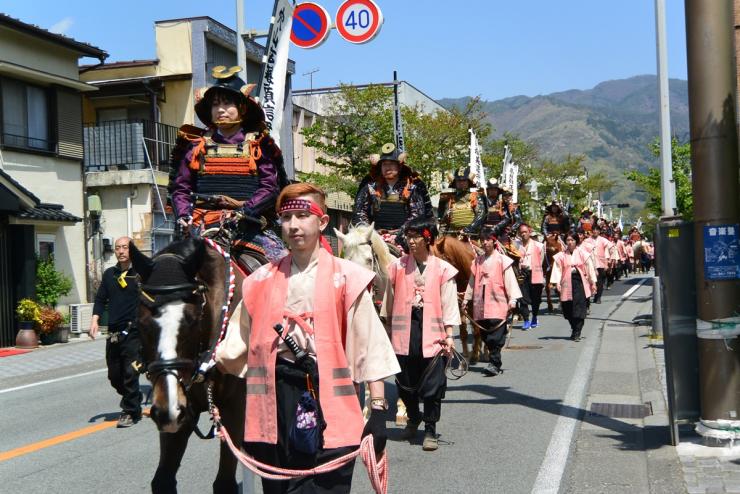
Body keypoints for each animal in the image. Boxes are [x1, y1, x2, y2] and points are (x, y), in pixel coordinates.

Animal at [131, 237, 249, 492]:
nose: (168, 411)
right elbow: (162, 479)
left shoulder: (235, 408)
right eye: (141, 322)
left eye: (193, 320)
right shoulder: (178, 411)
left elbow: (224, 483)